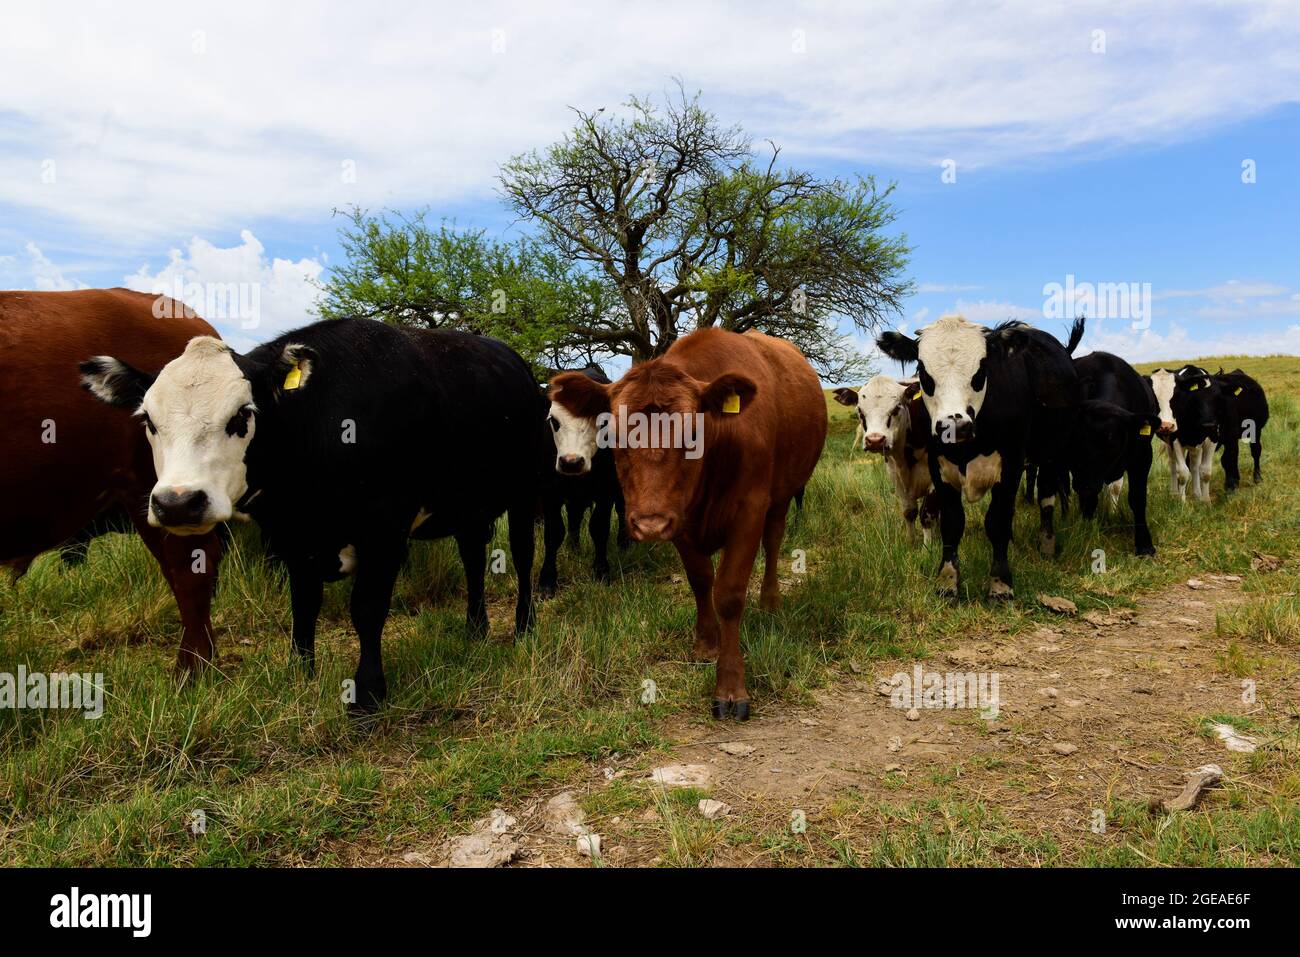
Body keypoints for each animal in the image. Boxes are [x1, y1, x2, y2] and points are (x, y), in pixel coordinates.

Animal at [81, 317, 550, 713]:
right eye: (148, 420)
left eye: (242, 415)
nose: (178, 501)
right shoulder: (294, 538)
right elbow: (304, 606)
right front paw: (300, 674)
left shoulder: (385, 529)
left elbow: (367, 607)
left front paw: (368, 693)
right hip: (467, 506)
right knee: (473, 558)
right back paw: (475, 629)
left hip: (525, 493)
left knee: (523, 555)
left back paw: (523, 627)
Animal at [539, 363, 628, 593]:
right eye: (553, 420)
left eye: (601, 421)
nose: (571, 462)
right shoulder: (550, 491)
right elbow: (553, 533)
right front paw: (547, 581)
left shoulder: (606, 490)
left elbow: (599, 527)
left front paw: (601, 571)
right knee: (574, 516)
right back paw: (573, 546)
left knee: (622, 511)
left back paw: (624, 543)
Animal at [833, 375, 938, 543]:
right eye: (860, 410)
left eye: (896, 409)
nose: (875, 440)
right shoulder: (895, 476)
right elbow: (909, 512)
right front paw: (910, 543)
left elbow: (926, 515)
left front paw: (928, 547)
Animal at [877, 315, 1083, 600]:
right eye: (923, 370)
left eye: (982, 369)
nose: (954, 425)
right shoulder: (938, 470)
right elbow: (952, 524)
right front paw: (947, 581)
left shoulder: (1010, 467)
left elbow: (997, 521)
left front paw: (1000, 584)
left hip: (1052, 452)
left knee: (1046, 498)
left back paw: (1047, 544)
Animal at [1069, 351, 1161, 555]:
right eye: (1072, 442)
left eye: (1110, 441)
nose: (1084, 485)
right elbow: (1089, 500)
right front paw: (1087, 528)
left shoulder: (1143, 455)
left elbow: (1137, 498)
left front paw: (1144, 545)